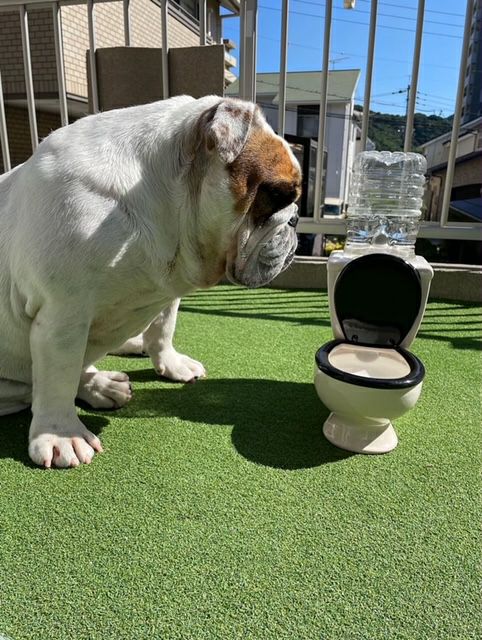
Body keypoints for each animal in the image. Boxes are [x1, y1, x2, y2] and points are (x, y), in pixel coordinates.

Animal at [0, 95, 301, 468]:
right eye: (278, 193)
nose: (296, 218)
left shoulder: (166, 290)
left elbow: (162, 329)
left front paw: (170, 363)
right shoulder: (64, 315)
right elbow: (58, 376)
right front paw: (60, 434)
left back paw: (103, 384)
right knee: (43, 382)